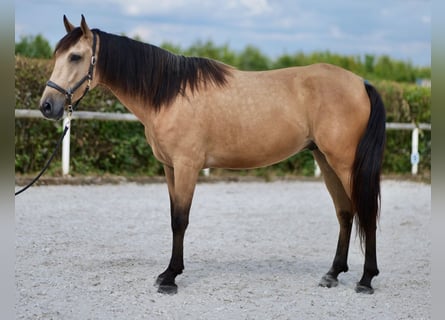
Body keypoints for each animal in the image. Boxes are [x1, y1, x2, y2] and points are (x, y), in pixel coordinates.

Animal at [39, 15, 386, 296]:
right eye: (57, 55)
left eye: (75, 56)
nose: (47, 106)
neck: (168, 94)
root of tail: (361, 82)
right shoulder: (169, 168)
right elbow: (172, 217)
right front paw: (169, 272)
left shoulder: (187, 166)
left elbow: (180, 220)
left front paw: (170, 278)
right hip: (325, 160)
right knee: (345, 212)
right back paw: (333, 274)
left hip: (344, 163)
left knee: (365, 212)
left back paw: (366, 280)